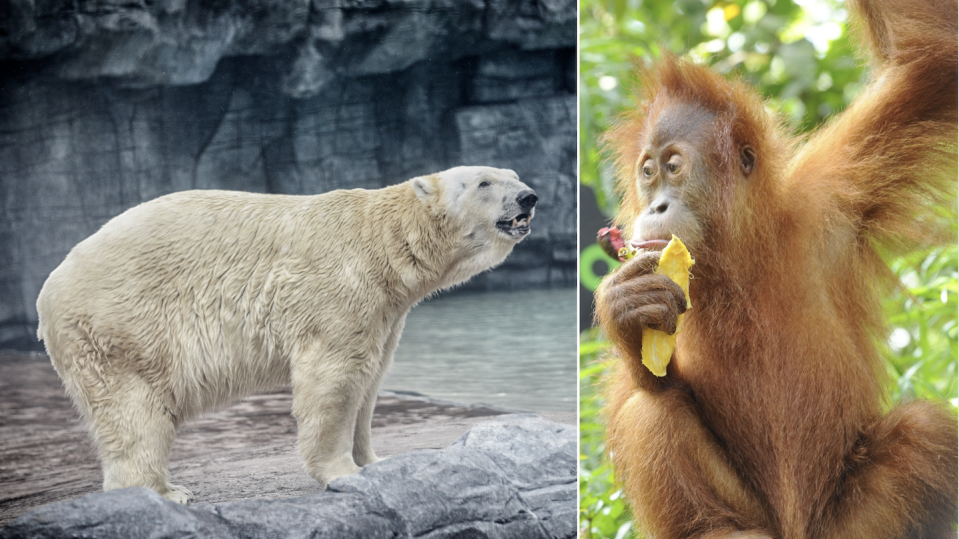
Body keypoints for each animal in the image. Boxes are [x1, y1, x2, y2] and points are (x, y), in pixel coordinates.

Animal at [37, 167, 536, 504]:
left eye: (512, 175)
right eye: (484, 182)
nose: (528, 197)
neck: (383, 241)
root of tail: (49, 291)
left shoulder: (386, 311)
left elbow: (370, 380)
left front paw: (376, 463)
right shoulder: (338, 288)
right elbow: (334, 379)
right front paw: (343, 473)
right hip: (123, 330)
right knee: (135, 413)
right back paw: (163, 493)